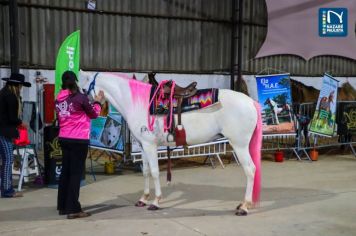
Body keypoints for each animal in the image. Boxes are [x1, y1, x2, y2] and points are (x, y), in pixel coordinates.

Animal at [81, 70, 264, 216]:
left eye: (84, 89)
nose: (88, 109)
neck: (140, 103)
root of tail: (250, 102)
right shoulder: (142, 146)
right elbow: (146, 171)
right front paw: (143, 199)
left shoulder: (150, 145)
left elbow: (155, 172)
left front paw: (155, 202)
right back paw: (243, 204)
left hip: (239, 145)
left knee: (250, 170)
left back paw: (245, 207)